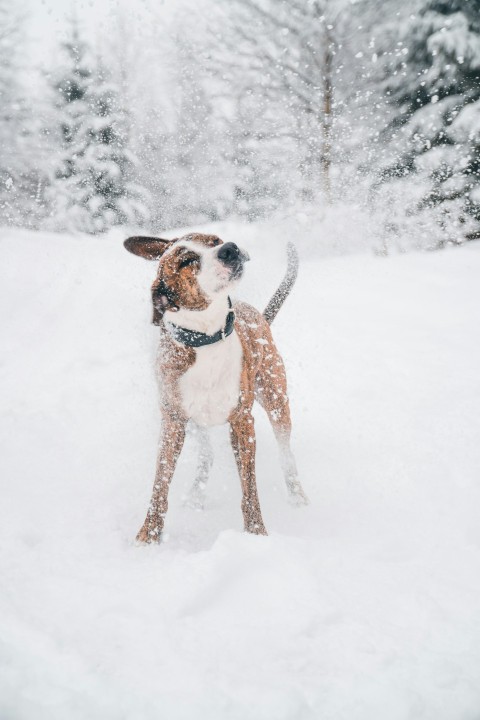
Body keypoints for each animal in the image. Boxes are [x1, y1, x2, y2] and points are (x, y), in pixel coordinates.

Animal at [124, 233, 308, 544]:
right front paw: (149, 535)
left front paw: (256, 532)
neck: (207, 335)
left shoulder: (242, 421)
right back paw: (196, 495)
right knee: (206, 456)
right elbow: (160, 483)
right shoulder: (173, 421)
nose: (229, 249)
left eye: (213, 240)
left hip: (276, 399)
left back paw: (297, 496)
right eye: (187, 261)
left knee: (287, 454)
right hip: (196, 423)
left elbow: (249, 488)